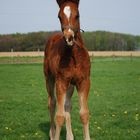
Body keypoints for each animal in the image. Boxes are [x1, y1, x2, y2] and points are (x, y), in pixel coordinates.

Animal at [43, 0, 91, 139]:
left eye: (77, 15)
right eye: (59, 16)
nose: (69, 37)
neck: (74, 56)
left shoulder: (84, 81)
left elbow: (84, 114)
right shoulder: (61, 82)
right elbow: (59, 116)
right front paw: (56, 136)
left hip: (70, 85)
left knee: (67, 105)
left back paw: (69, 136)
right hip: (49, 79)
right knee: (52, 103)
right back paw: (52, 133)